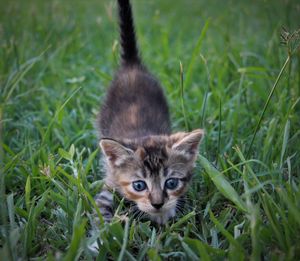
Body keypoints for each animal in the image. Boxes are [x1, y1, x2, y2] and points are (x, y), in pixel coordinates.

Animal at [96, 0, 204, 223]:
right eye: (139, 185)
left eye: (171, 183)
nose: (157, 204)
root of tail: (132, 66)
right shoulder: (109, 183)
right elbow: (100, 214)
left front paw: (165, 214)